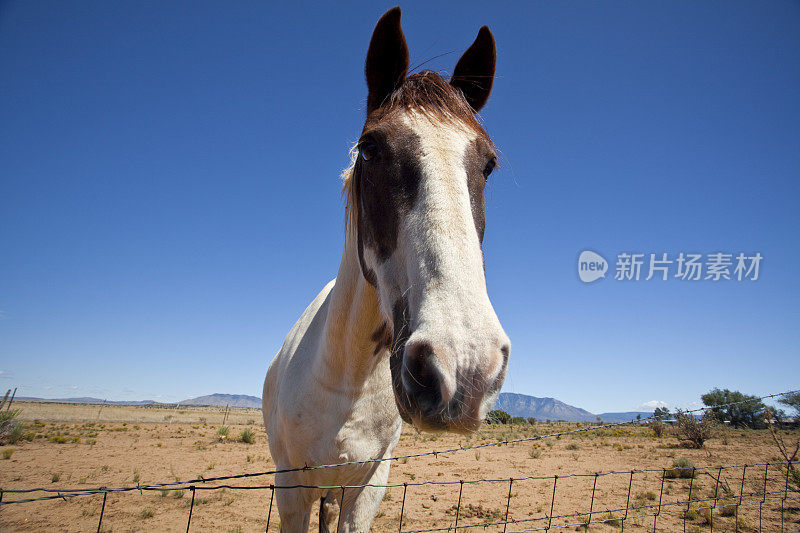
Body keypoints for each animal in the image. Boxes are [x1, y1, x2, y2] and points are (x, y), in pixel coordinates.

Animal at [266, 8, 510, 532]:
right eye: (370, 148)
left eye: (489, 165)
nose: (464, 367)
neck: (348, 377)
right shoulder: (290, 488)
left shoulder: (368, 487)